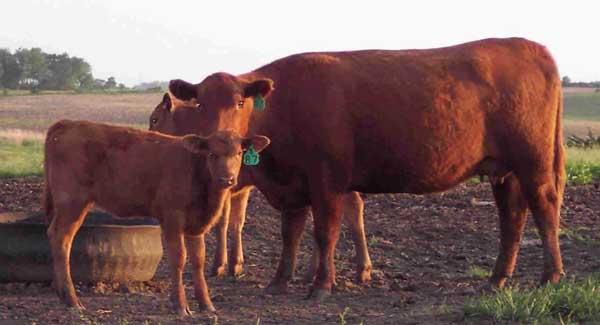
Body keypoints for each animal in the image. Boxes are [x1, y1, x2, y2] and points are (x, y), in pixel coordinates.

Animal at [45, 119, 270, 314]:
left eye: (239, 153)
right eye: (212, 154)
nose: (227, 179)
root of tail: (66, 123)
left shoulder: (195, 225)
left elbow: (198, 260)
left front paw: (206, 304)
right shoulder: (172, 219)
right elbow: (179, 258)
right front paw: (180, 305)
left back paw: (62, 294)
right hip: (72, 203)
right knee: (62, 239)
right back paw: (72, 299)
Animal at [163, 38, 564, 298]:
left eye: (240, 101)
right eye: (200, 103)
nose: (220, 138)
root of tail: (532, 47)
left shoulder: (327, 181)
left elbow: (325, 233)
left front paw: (321, 285)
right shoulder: (293, 185)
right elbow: (290, 233)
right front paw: (279, 281)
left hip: (533, 162)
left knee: (544, 208)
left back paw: (551, 276)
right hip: (505, 171)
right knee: (512, 217)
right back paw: (497, 279)